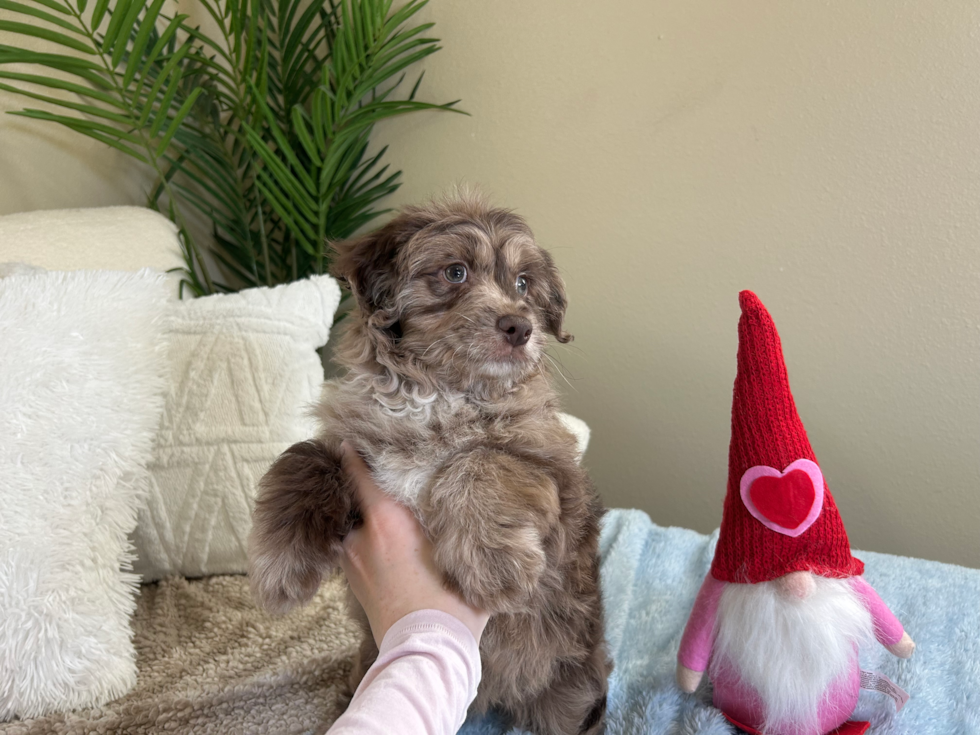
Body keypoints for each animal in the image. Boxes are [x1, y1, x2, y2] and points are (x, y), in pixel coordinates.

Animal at [247, 193, 612, 732]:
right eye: (455, 272)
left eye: (523, 284)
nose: (520, 327)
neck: (437, 393)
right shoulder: (351, 446)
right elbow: (305, 455)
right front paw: (280, 564)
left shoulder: (555, 473)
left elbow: (482, 459)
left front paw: (492, 562)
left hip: (573, 685)